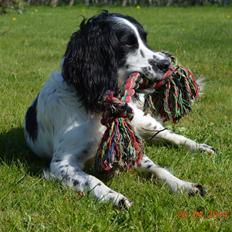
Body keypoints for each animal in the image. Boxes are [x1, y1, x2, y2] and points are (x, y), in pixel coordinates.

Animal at [24, 11, 215, 208]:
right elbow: (92, 180)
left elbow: (157, 168)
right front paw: (115, 197)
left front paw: (183, 185)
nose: (167, 63)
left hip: (145, 121)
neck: (94, 103)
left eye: (145, 39)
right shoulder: (62, 163)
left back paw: (200, 147)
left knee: (170, 134)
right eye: (127, 43)